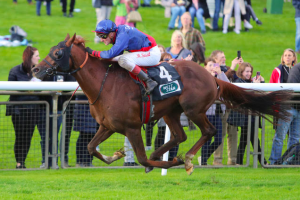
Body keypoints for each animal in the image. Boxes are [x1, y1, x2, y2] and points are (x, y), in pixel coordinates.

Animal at [32, 33, 290, 174]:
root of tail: (213, 76)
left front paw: (171, 161)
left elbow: (141, 158)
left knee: (208, 131)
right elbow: (90, 147)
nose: (35, 69)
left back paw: (187, 158)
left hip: (193, 109)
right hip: (171, 112)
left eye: (57, 53)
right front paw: (115, 155)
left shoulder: (132, 127)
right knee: (179, 135)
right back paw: (165, 153)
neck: (104, 84)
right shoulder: (107, 126)